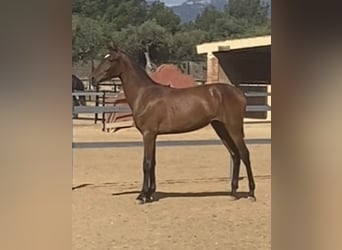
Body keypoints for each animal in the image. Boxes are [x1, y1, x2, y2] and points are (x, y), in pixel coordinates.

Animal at [92, 46, 255, 204]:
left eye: (111, 60)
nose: (93, 79)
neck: (144, 95)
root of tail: (238, 93)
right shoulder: (153, 135)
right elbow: (153, 163)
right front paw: (150, 194)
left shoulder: (148, 134)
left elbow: (146, 163)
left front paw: (142, 196)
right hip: (221, 128)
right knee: (235, 154)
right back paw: (233, 193)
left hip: (233, 128)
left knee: (244, 154)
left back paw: (251, 193)